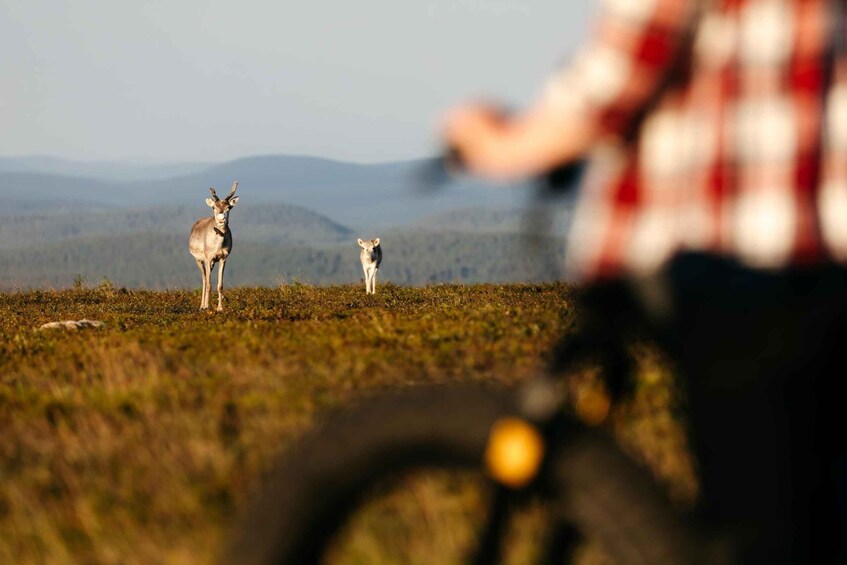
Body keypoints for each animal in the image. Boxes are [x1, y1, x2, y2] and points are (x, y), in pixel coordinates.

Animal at [189, 181, 239, 311]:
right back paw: (202, 306)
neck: (218, 245)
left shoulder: (223, 258)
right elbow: (208, 284)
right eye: (214, 207)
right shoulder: (208, 258)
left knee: (206, 277)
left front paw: (220, 308)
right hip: (199, 260)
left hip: (211, 263)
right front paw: (207, 306)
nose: (222, 218)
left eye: (229, 207)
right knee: (204, 279)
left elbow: (220, 285)